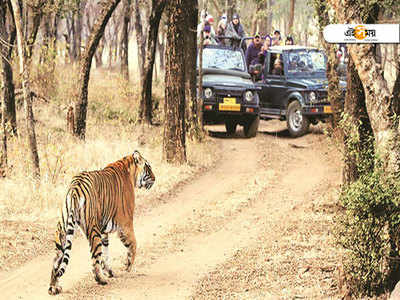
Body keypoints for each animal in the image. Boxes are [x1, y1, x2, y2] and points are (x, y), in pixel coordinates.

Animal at [48, 151, 155, 294]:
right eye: (148, 167)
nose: (155, 178)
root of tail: (75, 187)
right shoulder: (125, 224)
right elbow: (133, 244)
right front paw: (127, 266)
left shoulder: (104, 230)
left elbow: (106, 253)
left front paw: (109, 271)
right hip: (93, 230)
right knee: (94, 259)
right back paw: (101, 280)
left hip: (62, 230)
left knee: (56, 262)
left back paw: (54, 287)